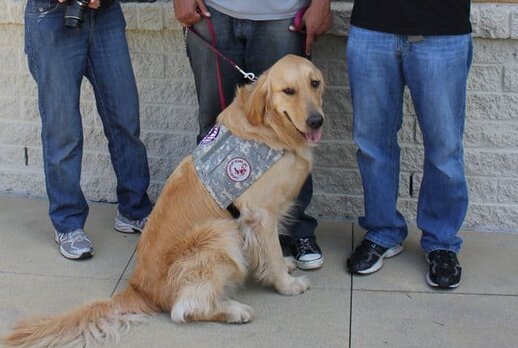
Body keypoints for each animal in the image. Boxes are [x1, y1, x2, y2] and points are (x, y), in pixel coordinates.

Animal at [4, 53, 328, 346]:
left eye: (315, 83)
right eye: (288, 91)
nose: (316, 120)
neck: (270, 126)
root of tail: (139, 288)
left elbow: (271, 251)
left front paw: (285, 265)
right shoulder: (258, 212)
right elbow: (270, 252)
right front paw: (286, 285)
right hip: (219, 231)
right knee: (183, 310)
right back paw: (235, 311)